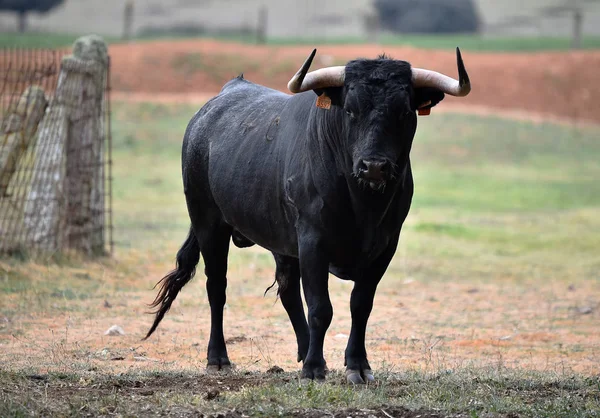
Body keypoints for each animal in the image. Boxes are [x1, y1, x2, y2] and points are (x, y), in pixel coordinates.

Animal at [146, 47, 474, 384]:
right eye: (350, 111)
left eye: (405, 112)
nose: (374, 166)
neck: (363, 206)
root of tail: (210, 110)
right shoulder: (312, 241)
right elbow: (320, 308)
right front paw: (314, 369)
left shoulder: (384, 247)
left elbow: (361, 305)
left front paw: (357, 365)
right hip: (208, 222)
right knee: (217, 287)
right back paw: (219, 358)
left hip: (280, 241)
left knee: (288, 292)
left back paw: (304, 351)